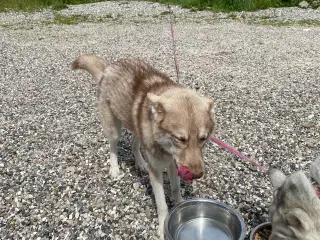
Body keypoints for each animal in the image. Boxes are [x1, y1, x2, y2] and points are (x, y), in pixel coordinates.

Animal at [70, 54, 215, 238]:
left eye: (203, 138)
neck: (166, 148)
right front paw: (162, 227)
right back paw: (115, 168)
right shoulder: (157, 169)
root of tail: (108, 67)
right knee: (113, 147)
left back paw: (140, 163)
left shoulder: (173, 164)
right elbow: (161, 204)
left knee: (134, 145)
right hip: (113, 128)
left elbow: (175, 188)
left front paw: (180, 204)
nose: (197, 174)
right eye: (180, 139)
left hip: (136, 128)